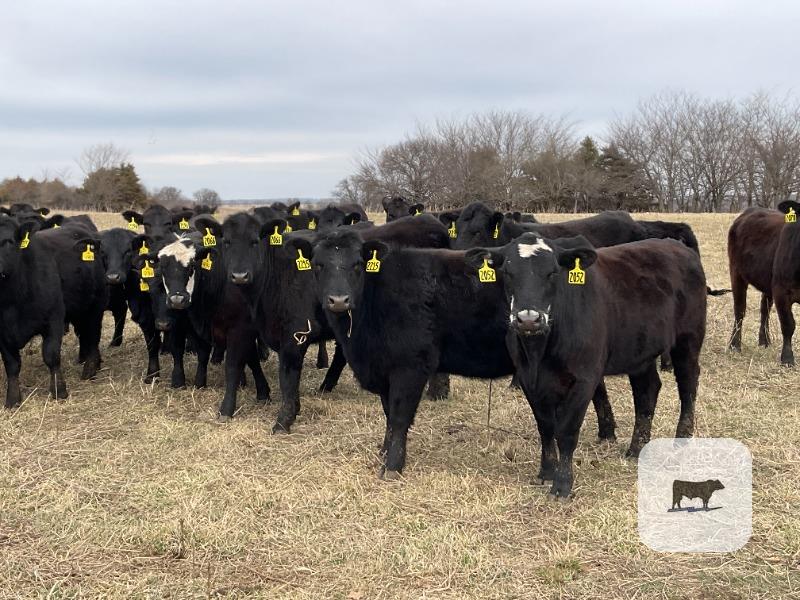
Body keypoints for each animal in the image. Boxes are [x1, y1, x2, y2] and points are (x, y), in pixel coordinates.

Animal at [0, 215, 68, 407]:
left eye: (8, 241)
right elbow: (11, 364)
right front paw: (13, 399)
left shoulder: (54, 319)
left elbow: (52, 356)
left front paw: (59, 390)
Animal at [307, 229, 618, 480]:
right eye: (319, 265)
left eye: (357, 265)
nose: (338, 300)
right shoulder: (385, 368)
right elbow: (388, 414)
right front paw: (384, 453)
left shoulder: (411, 367)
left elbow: (399, 417)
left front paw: (392, 467)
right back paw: (608, 433)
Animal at [469, 233, 707, 499]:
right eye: (508, 272)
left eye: (553, 272)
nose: (528, 319)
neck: (539, 353)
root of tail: (677, 246)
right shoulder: (529, 379)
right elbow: (545, 427)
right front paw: (546, 471)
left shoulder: (585, 379)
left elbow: (566, 431)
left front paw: (562, 484)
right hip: (640, 352)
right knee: (647, 390)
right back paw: (637, 448)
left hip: (688, 338)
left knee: (688, 384)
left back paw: (681, 441)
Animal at [728, 201, 800, 366]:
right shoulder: (781, 291)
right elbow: (788, 324)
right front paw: (787, 358)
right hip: (736, 273)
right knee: (739, 310)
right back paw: (734, 345)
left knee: (764, 309)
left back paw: (764, 341)